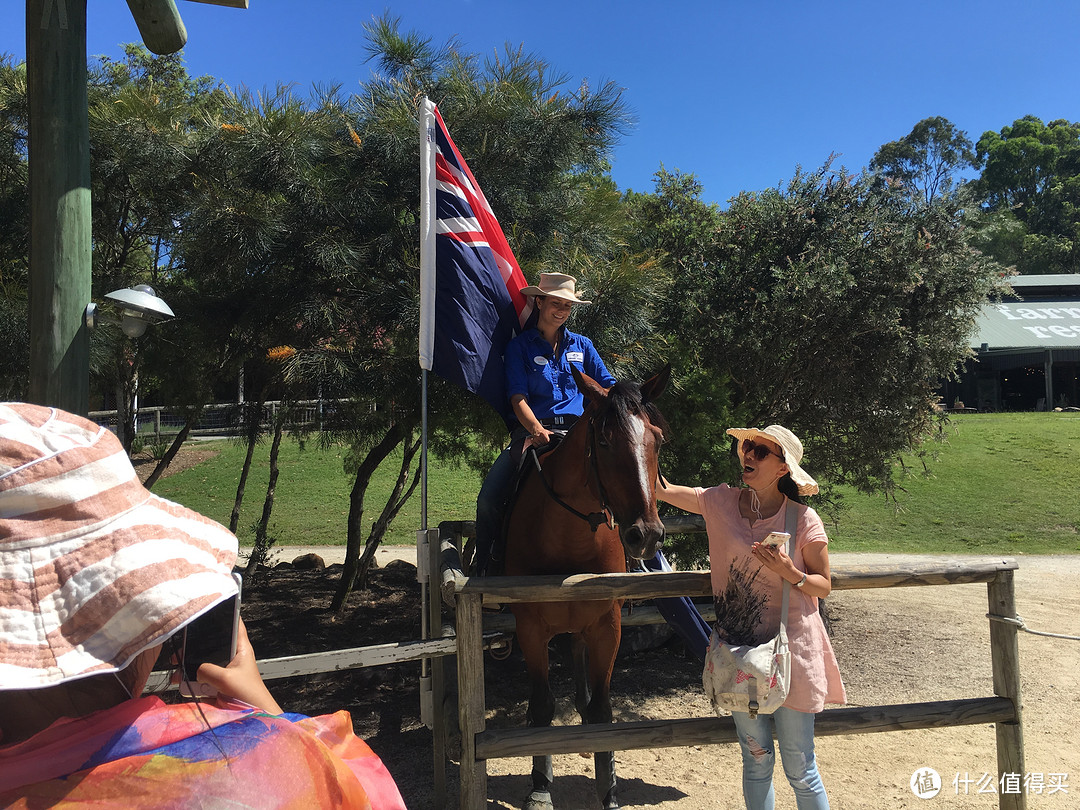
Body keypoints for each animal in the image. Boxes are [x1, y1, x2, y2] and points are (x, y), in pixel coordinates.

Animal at [503, 367, 669, 810]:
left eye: (657, 439)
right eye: (606, 440)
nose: (645, 534)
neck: (568, 536)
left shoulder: (606, 628)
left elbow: (602, 711)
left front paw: (607, 789)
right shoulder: (531, 630)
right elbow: (543, 707)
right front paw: (540, 786)